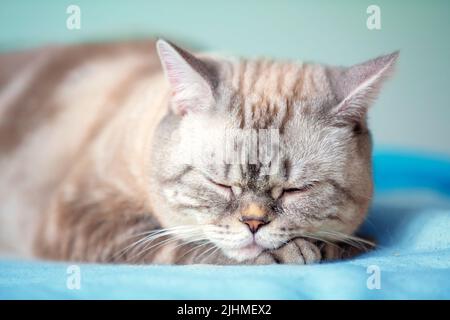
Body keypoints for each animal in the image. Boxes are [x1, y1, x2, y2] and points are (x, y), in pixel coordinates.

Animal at [0, 40, 398, 264]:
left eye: (294, 191)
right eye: (219, 185)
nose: (253, 224)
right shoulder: (82, 212)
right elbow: (185, 245)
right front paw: (294, 252)